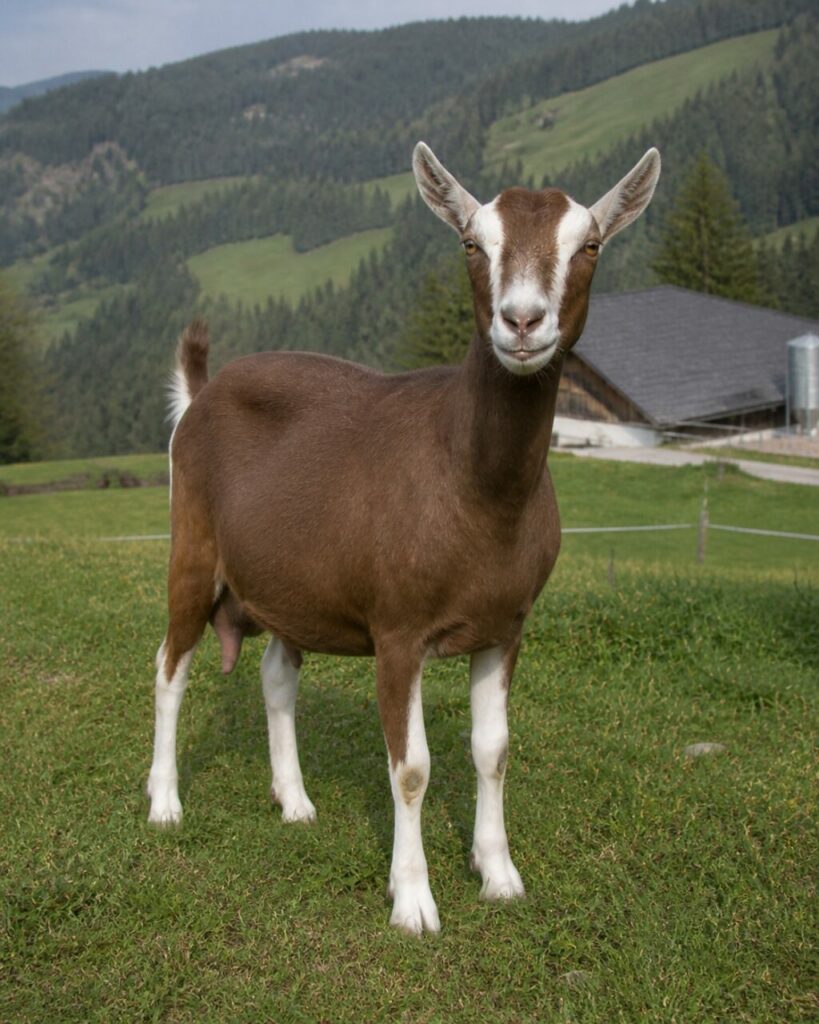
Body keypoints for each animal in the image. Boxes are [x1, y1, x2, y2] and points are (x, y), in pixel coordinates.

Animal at [147, 142, 661, 935]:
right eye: (472, 244)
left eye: (591, 245)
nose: (521, 322)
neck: (475, 491)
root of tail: (200, 395)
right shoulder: (396, 628)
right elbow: (411, 766)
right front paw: (413, 900)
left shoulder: (506, 626)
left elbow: (492, 750)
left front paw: (498, 872)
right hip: (193, 545)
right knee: (169, 665)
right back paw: (166, 803)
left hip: (290, 579)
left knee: (275, 673)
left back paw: (294, 801)